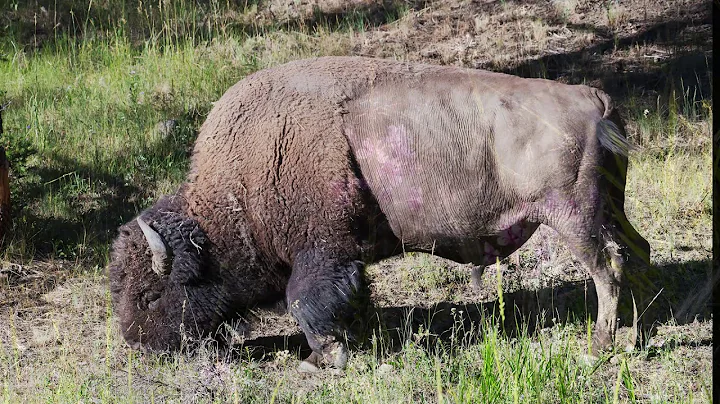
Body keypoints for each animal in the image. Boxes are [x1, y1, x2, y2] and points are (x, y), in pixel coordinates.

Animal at [108, 55, 652, 370]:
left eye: (151, 293)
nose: (136, 345)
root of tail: (592, 97)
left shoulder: (321, 253)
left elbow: (307, 303)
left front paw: (323, 359)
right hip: (610, 209)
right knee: (638, 252)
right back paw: (636, 333)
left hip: (574, 219)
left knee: (608, 268)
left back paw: (599, 346)